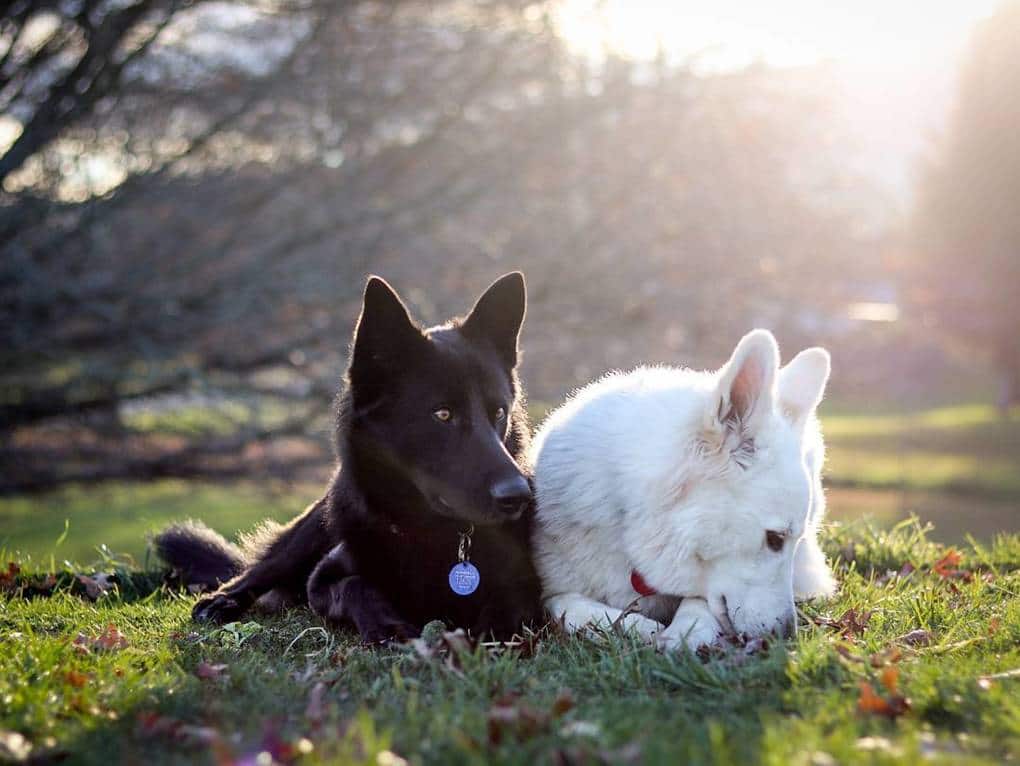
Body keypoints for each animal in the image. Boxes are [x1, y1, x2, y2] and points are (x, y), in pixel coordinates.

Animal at [153, 273, 542, 644]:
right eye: (442, 414)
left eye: (499, 413)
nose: (518, 496)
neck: (433, 533)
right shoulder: (322, 580)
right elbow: (356, 586)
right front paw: (388, 627)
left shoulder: (524, 581)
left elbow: (510, 600)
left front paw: (492, 632)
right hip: (309, 530)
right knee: (261, 568)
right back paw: (223, 599)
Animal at [530, 330, 832, 652]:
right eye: (774, 539)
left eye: (789, 541)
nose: (787, 637)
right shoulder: (549, 590)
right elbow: (566, 603)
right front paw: (630, 624)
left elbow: (698, 603)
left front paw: (687, 631)